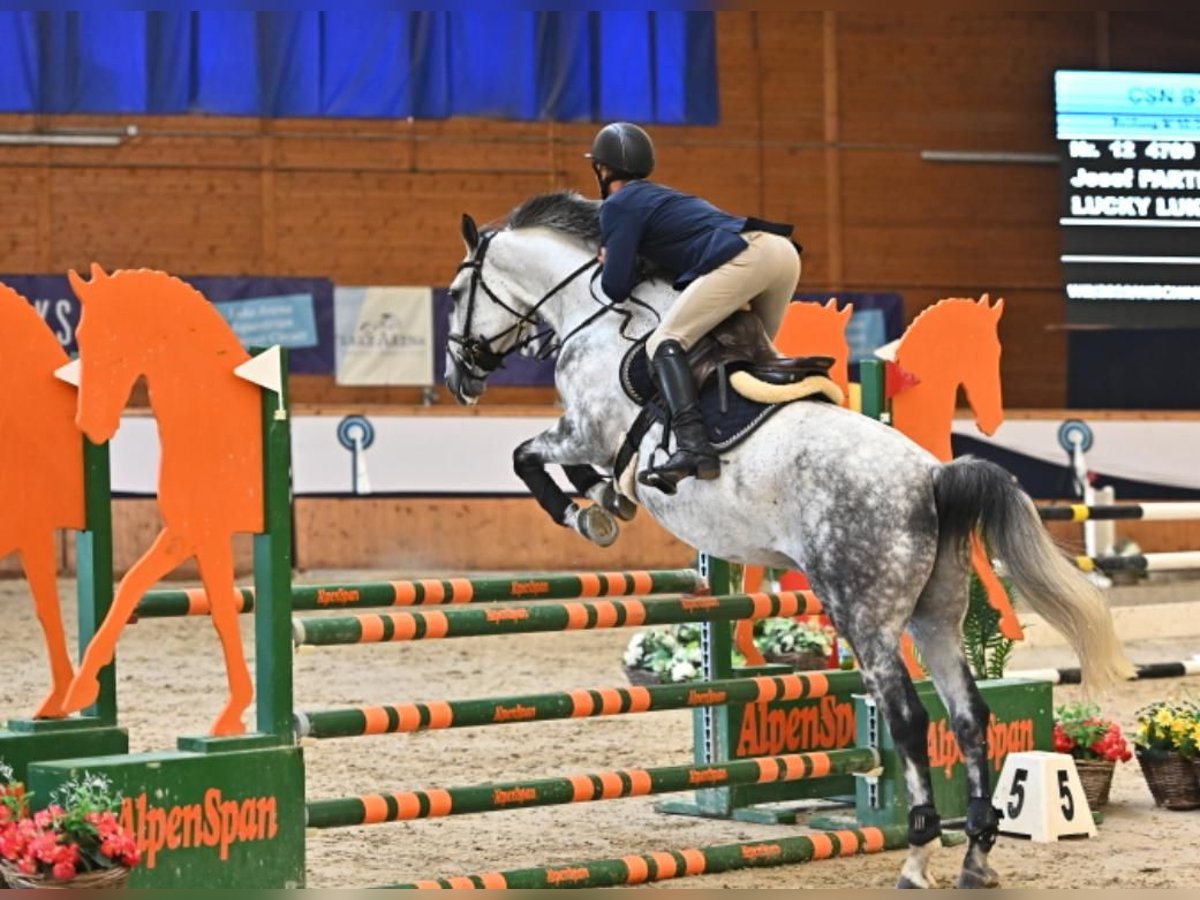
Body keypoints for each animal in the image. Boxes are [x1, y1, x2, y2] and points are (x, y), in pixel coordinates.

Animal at [444, 190, 1132, 888]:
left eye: (455, 293)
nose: (458, 378)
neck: (598, 316)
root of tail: (933, 477)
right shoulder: (594, 442)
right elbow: (579, 471)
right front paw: (607, 501)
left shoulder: (586, 431)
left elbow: (527, 456)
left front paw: (587, 513)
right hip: (936, 614)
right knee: (967, 717)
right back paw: (975, 856)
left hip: (866, 615)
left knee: (908, 719)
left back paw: (916, 854)